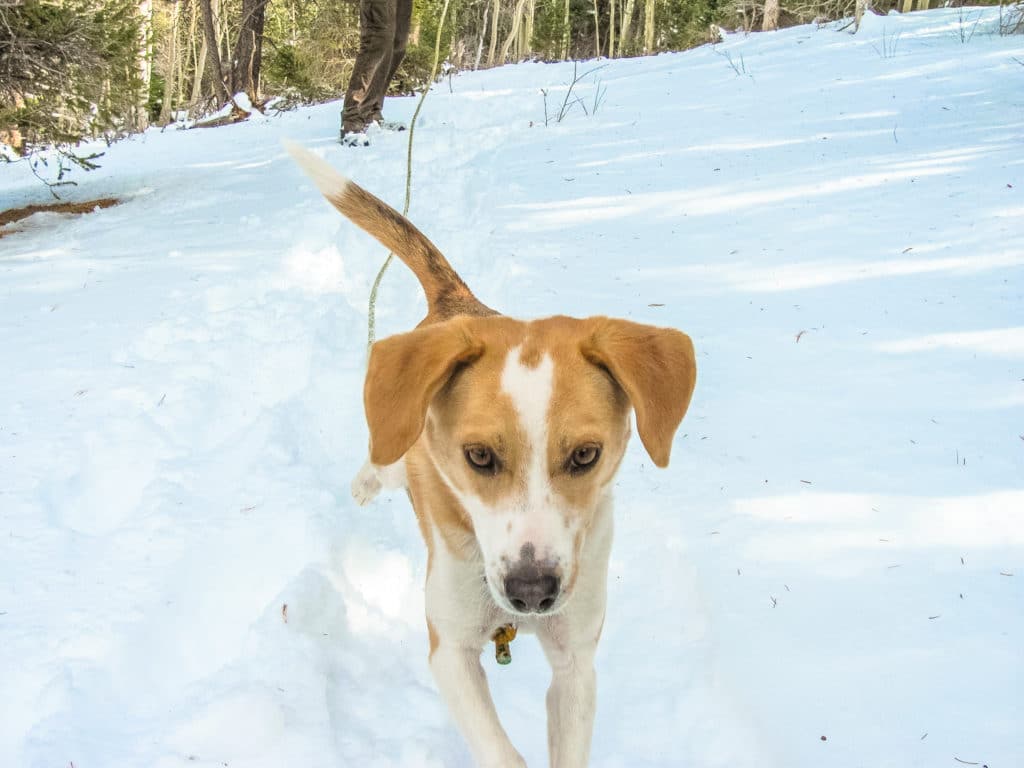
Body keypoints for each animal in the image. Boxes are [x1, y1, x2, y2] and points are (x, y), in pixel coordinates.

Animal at [286, 143, 696, 768]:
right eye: (478, 456)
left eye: (586, 454)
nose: (532, 593)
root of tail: (461, 307)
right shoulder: (449, 650)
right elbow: (504, 753)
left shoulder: (576, 661)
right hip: (398, 435)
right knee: (384, 457)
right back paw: (365, 480)